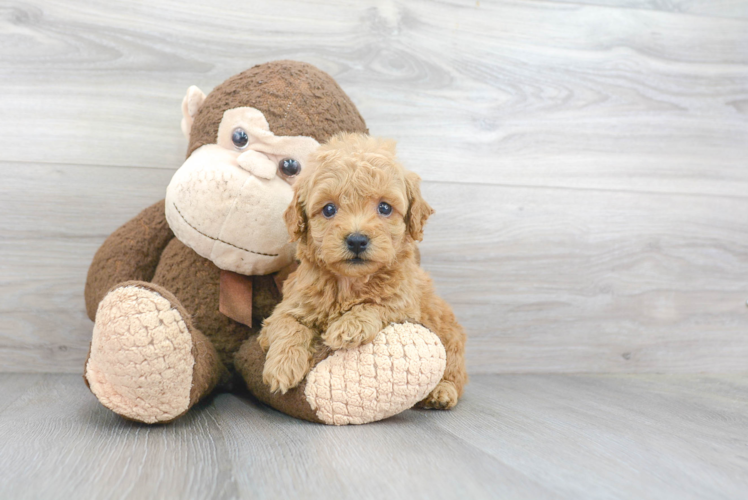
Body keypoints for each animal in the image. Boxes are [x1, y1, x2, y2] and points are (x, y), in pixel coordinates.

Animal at [258, 134, 468, 410]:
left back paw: (441, 392)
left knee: (455, 372)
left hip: (450, 337)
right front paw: (282, 366)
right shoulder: (288, 307)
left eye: (385, 208)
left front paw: (349, 326)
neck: (349, 283)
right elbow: (287, 325)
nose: (357, 240)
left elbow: (378, 305)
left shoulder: (405, 307)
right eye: (328, 209)